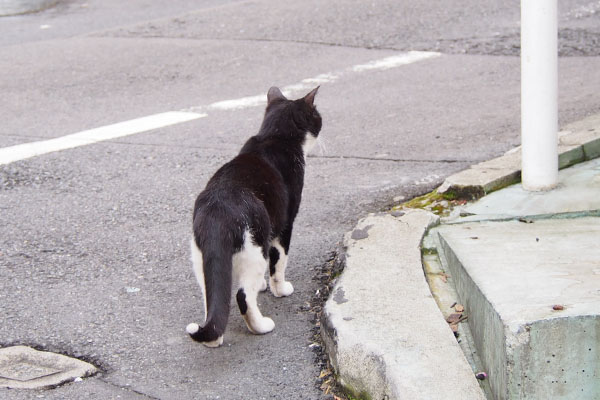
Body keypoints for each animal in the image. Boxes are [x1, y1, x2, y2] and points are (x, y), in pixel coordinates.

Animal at [188, 85, 322, 346]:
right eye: (318, 116)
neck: (274, 137)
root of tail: (218, 209)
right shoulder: (284, 224)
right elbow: (278, 262)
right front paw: (280, 289)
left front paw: (262, 285)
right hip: (255, 246)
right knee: (242, 296)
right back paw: (261, 326)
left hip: (202, 257)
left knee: (213, 296)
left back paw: (213, 338)